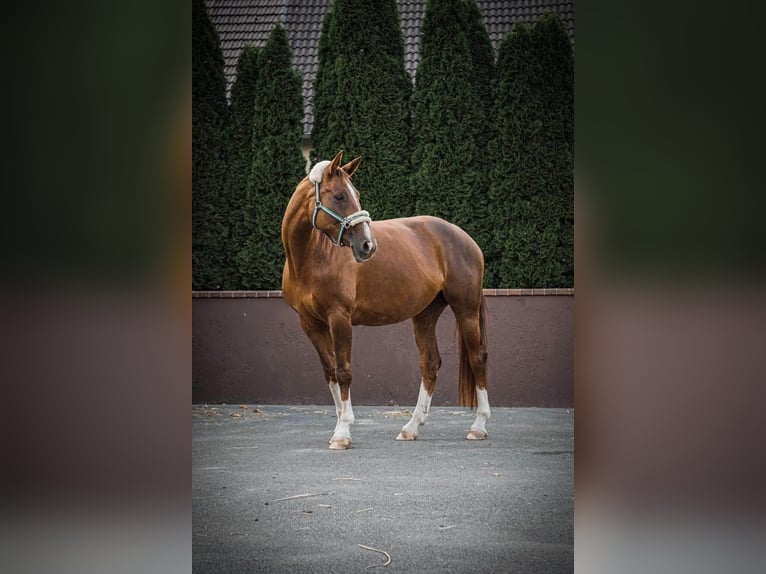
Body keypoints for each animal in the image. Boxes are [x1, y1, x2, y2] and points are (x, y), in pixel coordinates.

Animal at [281, 150, 490, 449]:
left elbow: (344, 371)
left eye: (356, 193)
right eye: (340, 196)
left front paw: (343, 431)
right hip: (425, 315)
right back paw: (411, 427)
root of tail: (464, 237)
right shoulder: (310, 323)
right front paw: (338, 427)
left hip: (466, 309)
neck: (311, 258)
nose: (368, 246)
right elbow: (330, 371)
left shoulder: (339, 317)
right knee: (430, 364)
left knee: (477, 358)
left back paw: (479, 426)